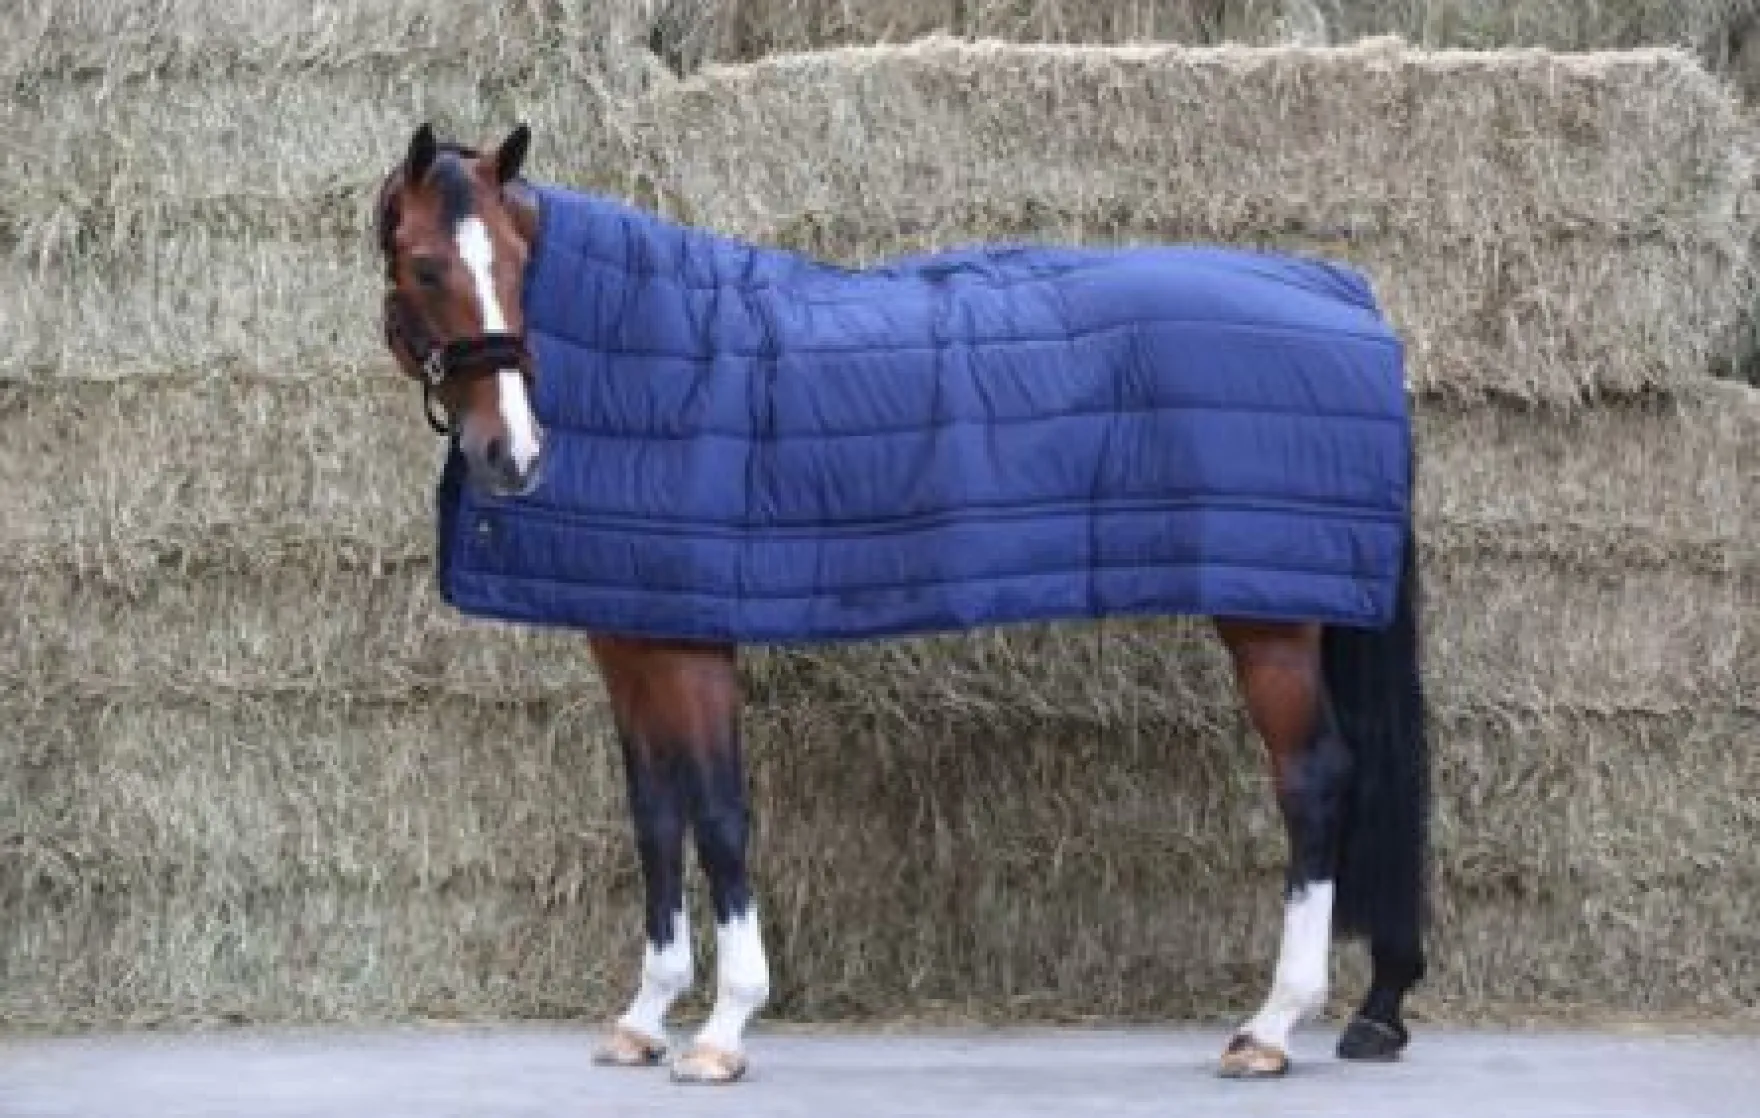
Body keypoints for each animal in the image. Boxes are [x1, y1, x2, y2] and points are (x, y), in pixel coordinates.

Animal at [372, 122, 1431, 1086]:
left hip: (1270, 625)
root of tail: (1353, 301)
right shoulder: (631, 637)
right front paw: (644, 1018)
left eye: (516, 261)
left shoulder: (691, 647)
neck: (643, 354)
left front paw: (725, 1028)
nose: (515, 455)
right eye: (424, 266)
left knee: (1314, 780)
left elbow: (718, 813)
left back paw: (1271, 1026)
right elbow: (656, 817)